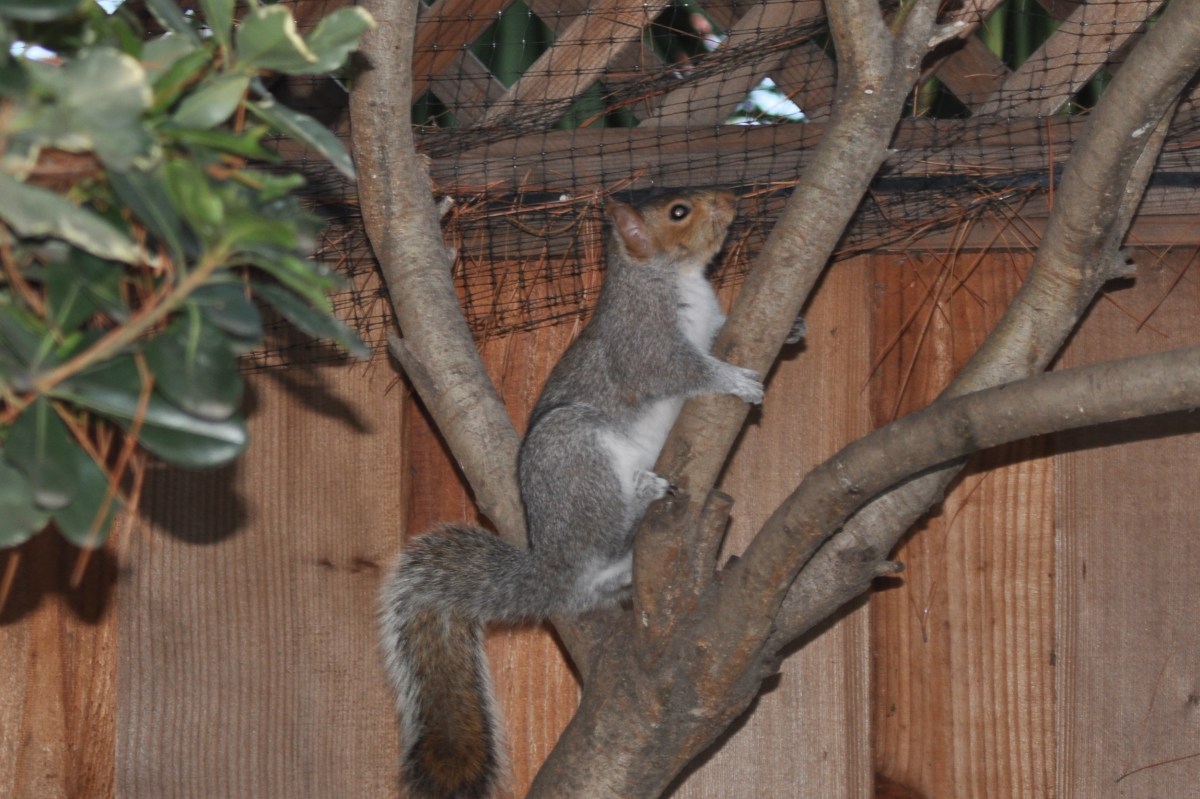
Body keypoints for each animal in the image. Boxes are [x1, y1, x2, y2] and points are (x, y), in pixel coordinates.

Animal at [378, 189, 764, 799]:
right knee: (602, 538)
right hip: (575, 457)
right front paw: (734, 379)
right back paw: (641, 500)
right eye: (678, 211)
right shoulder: (642, 341)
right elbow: (677, 369)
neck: (666, 275)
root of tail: (554, 565)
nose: (728, 199)